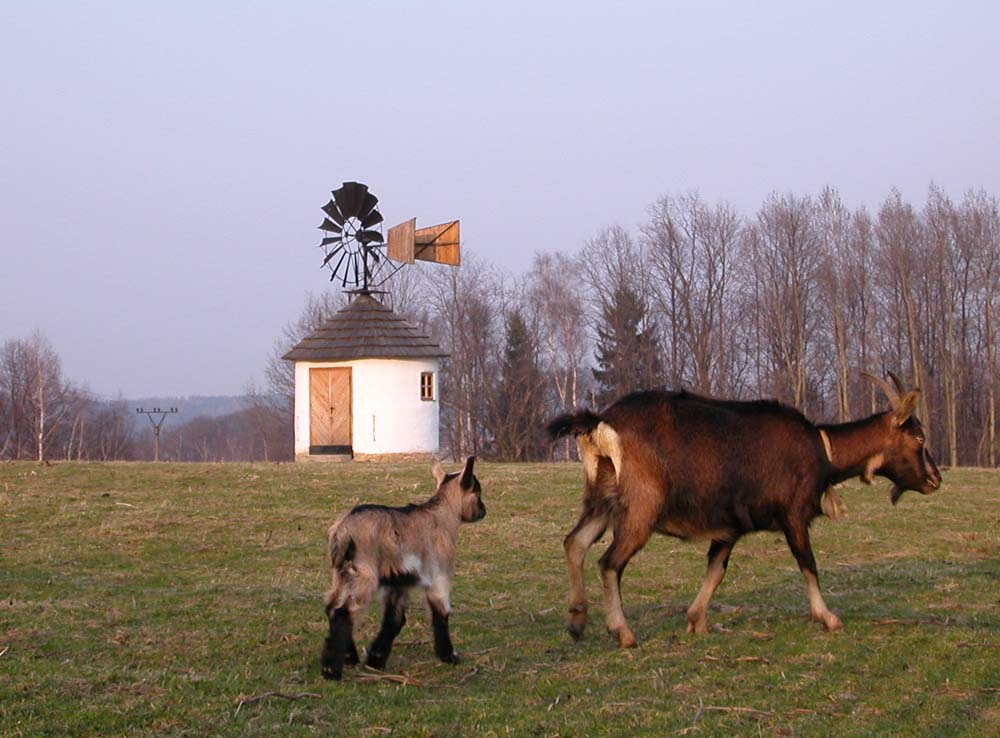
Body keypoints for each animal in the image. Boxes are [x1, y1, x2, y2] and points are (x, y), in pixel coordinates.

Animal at [552, 374, 940, 644]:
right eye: (919, 438)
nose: (935, 479)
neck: (822, 449)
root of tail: (600, 422)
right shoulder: (793, 514)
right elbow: (808, 563)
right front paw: (827, 617)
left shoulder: (730, 526)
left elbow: (716, 569)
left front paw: (697, 620)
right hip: (640, 508)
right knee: (609, 563)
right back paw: (623, 633)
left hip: (601, 499)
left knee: (575, 543)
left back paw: (576, 620)